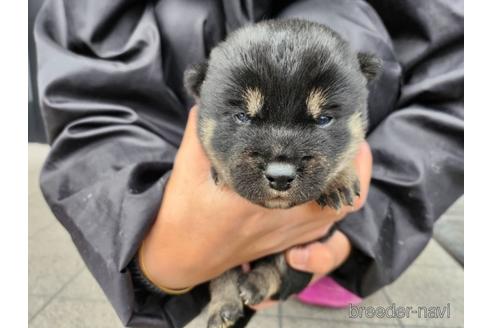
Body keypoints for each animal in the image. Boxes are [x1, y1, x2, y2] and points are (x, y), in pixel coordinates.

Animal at [184, 18, 380, 328]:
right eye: (242, 117)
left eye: (324, 119)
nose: (280, 176)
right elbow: (221, 273)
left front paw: (340, 181)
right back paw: (225, 306)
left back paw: (253, 285)